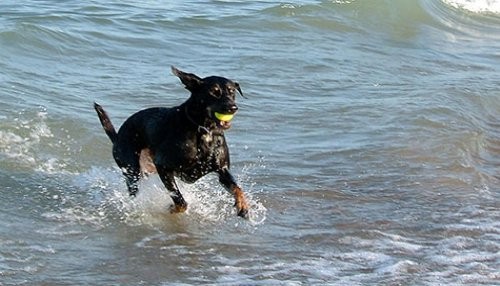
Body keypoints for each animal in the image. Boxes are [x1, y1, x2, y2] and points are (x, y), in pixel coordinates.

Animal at [93, 67, 248, 218]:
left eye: (232, 92)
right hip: (131, 169)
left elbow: (237, 188)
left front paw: (243, 206)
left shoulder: (222, 169)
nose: (233, 107)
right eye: (214, 92)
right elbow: (179, 200)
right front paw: (173, 208)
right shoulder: (163, 166)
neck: (204, 130)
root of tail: (117, 137)